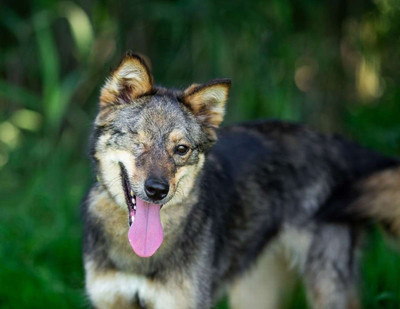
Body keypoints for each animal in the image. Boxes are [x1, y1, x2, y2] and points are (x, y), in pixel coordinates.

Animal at [81, 51, 400, 306]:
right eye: (138, 140)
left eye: (181, 149)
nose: (157, 190)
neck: (138, 257)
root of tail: (335, 142)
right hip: (255, 293)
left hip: (325, 287)